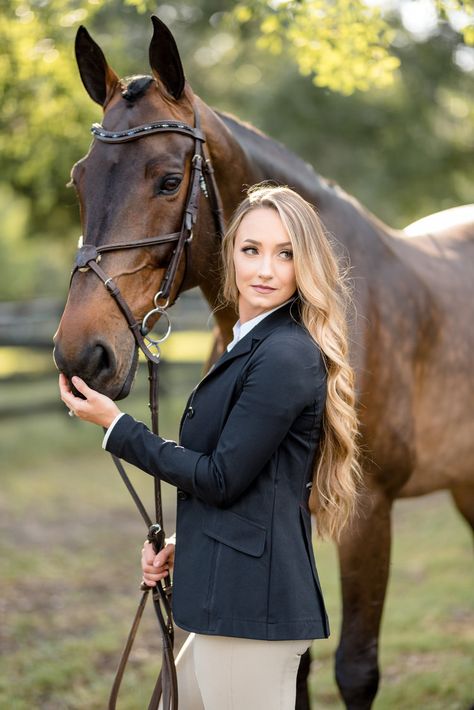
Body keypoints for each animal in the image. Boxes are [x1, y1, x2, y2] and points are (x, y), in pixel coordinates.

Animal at [52, 16, 474, 710]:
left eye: (169, 180)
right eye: (80, 180)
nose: (81, 354)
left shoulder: (368, 512)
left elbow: (355, 669)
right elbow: (292, 667)